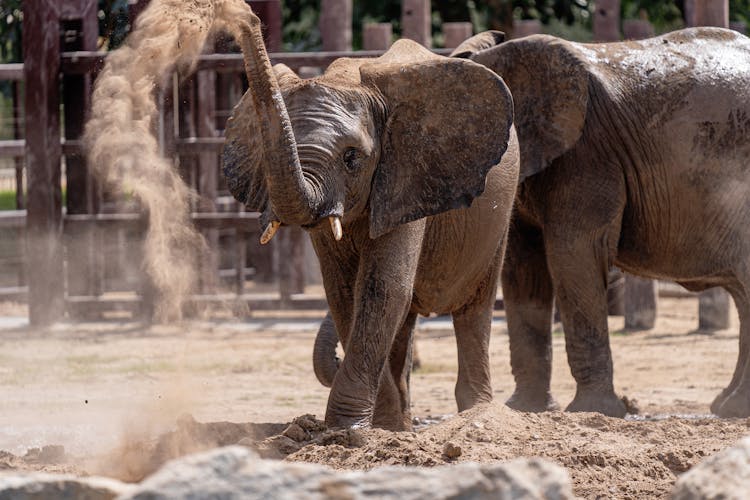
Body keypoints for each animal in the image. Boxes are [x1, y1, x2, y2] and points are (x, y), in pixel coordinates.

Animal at [223, 25, 524, 428]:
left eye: (352, 158)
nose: (248, 22)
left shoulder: (406, 175)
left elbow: (382, 287)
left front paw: (348, 429)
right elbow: (343, 293)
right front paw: (379, 428)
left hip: (499, 211)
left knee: (474, 306)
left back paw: (475, 411)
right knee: (406, 321)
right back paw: (404, 423)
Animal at [458, 27, 750, 418]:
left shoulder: (588, 154)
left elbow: (573, 255)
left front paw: (593, 412)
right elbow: (523, 268)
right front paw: (526, 410)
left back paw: (733, 408)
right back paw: (726, 406)